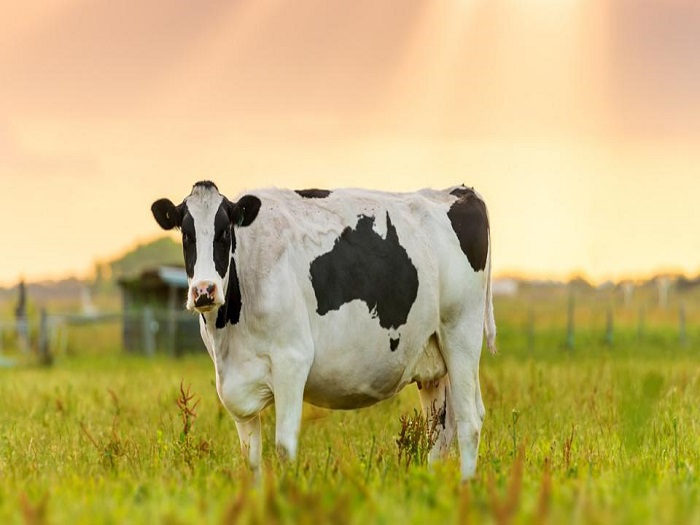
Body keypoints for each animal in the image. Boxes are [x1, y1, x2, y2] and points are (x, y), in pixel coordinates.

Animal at [151, 181, 496, 480]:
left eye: (224, 232)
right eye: (186, 235)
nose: (203, 291)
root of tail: (460, 190)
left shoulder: (292, 361)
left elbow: (284, 447)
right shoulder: (237, 387)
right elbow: (250, 459)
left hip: (460, 335)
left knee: (469, 421)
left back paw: (465, 486)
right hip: (432, 356)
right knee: (440, 428)